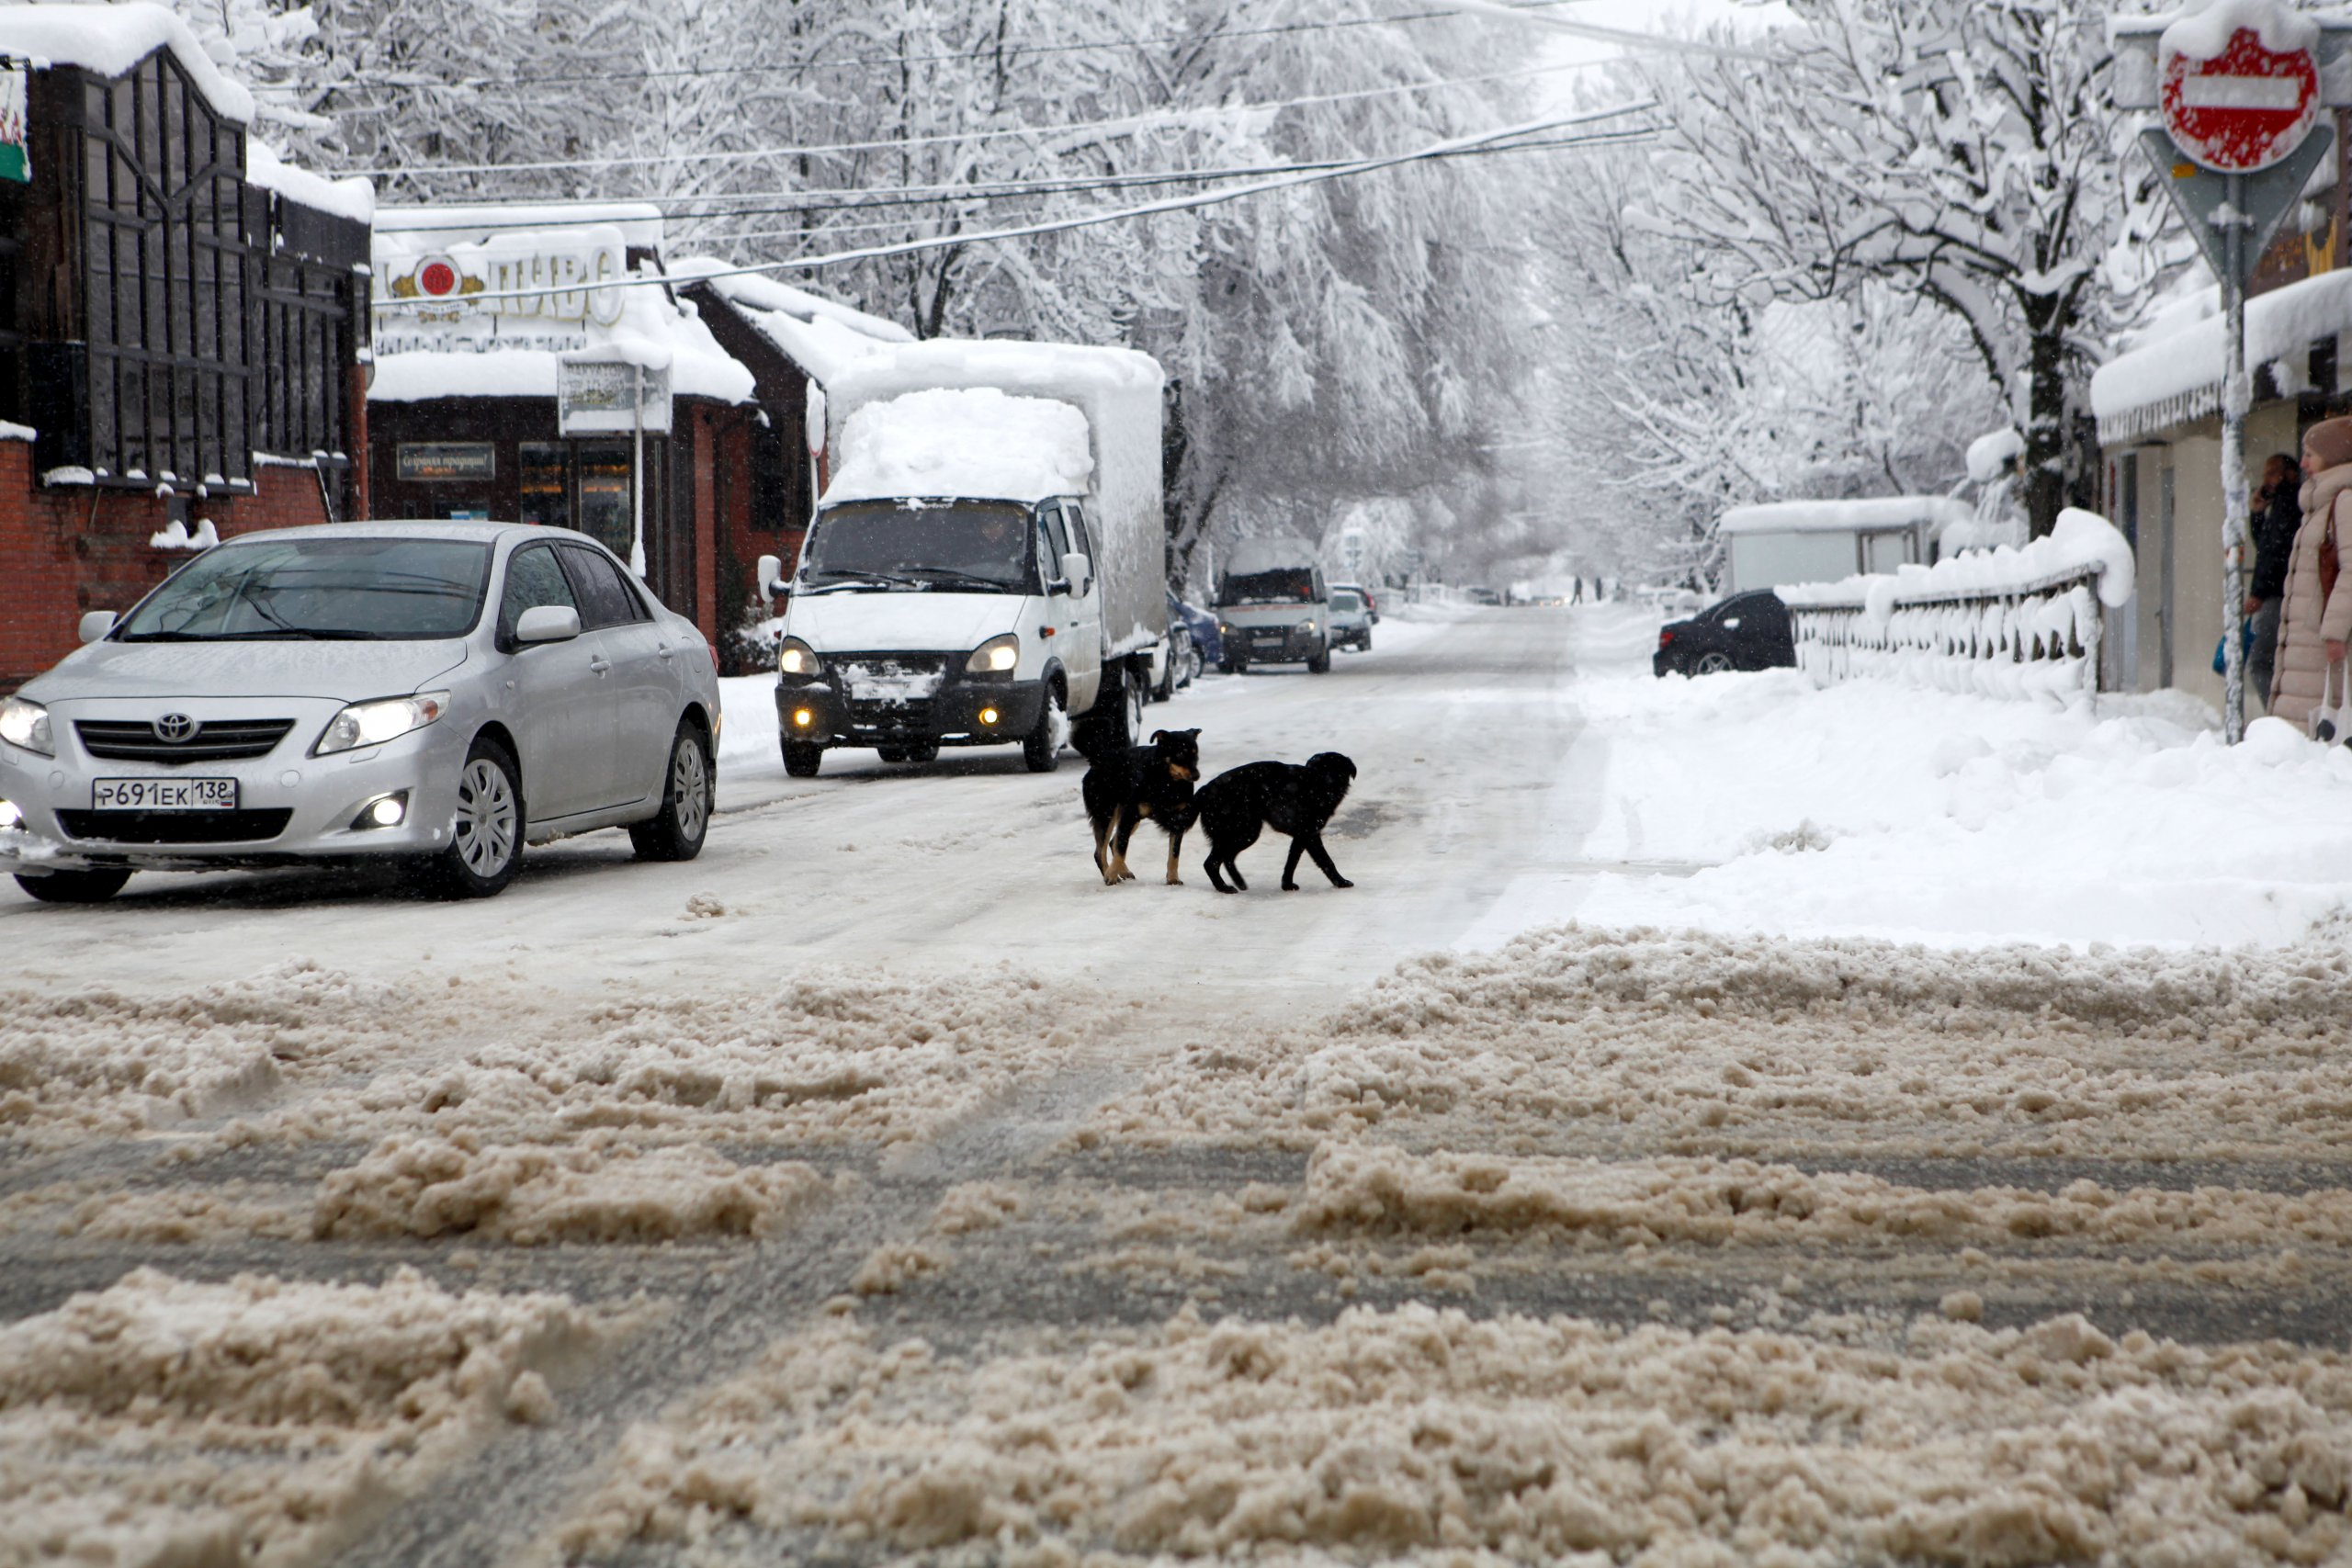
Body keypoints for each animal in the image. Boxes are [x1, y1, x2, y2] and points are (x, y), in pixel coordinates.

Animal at [1077, 728, 1204, 888]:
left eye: (1196, 754)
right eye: (1180, 753)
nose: (1196, 775)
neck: (1167, 782)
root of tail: (1098, 760)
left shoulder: (1179, 820)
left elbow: (1174, 854)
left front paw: (1173, 879)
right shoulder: (1130, 815)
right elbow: (1122, 849)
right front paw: (1111, 876)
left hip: (1126, 817)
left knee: (1112, 843)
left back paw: (1123, 872)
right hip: (1107, 814)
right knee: (1101, 851)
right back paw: (1110, 874)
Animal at [1176, 751, 1363, 893]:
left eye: (1338, 771)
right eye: (1321, 772)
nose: (1329, 785)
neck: (1314, 788)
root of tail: (1205, 790)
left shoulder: (1302, 836)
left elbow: (1292, 861)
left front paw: (1287, 885)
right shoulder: (1309, 833)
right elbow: (1326, 860)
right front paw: (1341, 883)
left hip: (1240, 833)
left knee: (1226, 858)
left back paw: (1238, 882)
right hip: (1244, 831)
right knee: (1211, 863)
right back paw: (1224, 888)